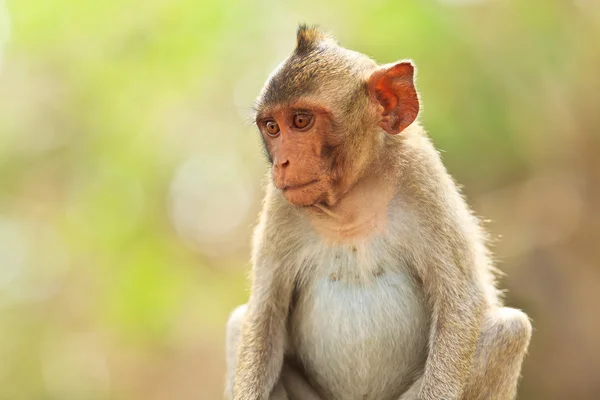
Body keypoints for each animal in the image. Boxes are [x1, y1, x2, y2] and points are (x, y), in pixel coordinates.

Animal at [224, 25, 528, 400]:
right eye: (272, 127)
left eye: (300, 121)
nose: (282, 163)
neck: (350, 201)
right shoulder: (280, 204)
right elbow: (263, 314)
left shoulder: (422, 177)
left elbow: (460, 303)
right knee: (239, 322)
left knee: (510, 330)